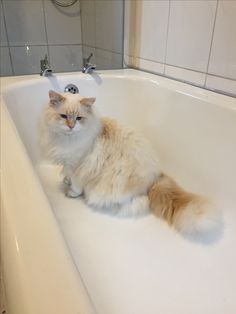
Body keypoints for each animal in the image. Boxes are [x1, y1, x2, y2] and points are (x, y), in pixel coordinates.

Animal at [40, 90, 219, 236]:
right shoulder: (67, 163)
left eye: (79, 118)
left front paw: (71, 192)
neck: (66, 140)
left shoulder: (79, 165)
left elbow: (76, 184)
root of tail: (155, 177)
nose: (71, 126)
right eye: (64, 117)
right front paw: (65, 180)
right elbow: (67, 174)